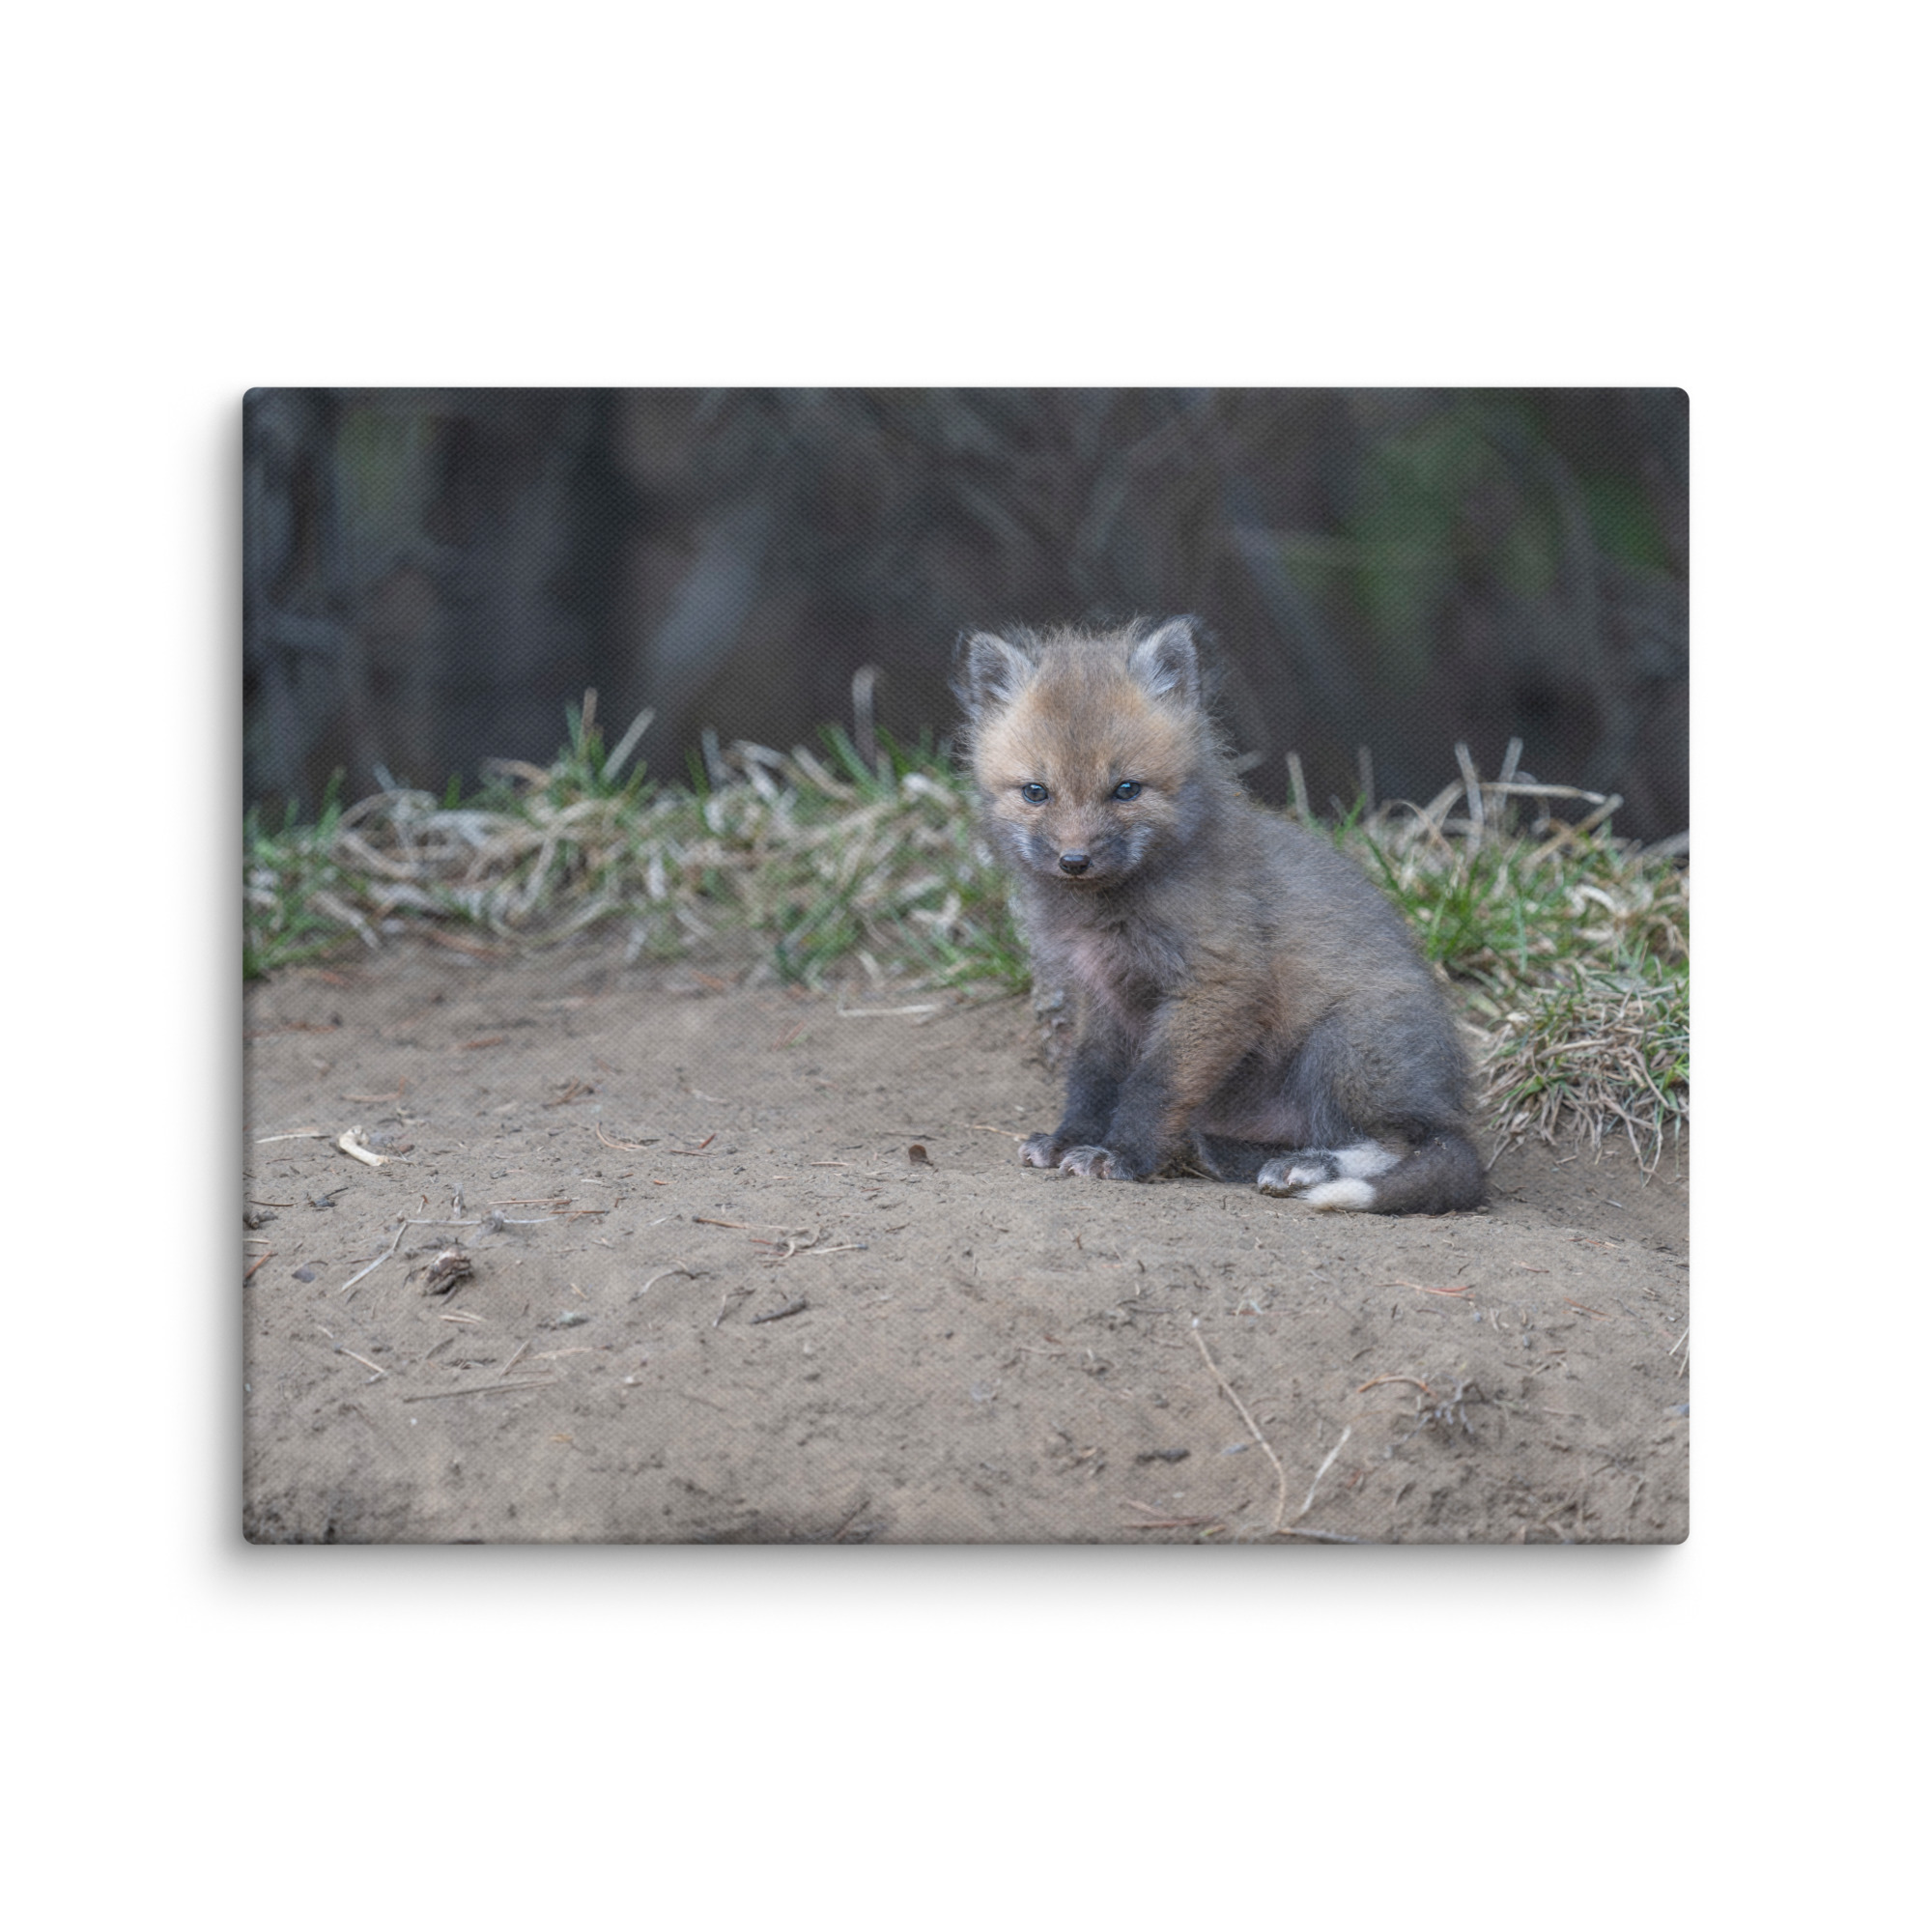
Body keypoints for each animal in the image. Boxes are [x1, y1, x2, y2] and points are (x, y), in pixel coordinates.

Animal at [956, 616, 1483, 1215]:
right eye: (1036, 792)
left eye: (1126, 790)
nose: (1074, 860)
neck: (1108, 912)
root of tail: (1448, 1099)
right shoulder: (1103, 995)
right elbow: (1092, 1078)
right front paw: (1071, 1139)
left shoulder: (1218, 983)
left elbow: (1154, 1085)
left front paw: (1122, 1156)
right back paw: (1227, 1153)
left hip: (1343, 1047)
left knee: (1410, 1144)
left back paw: (1307, 1167)